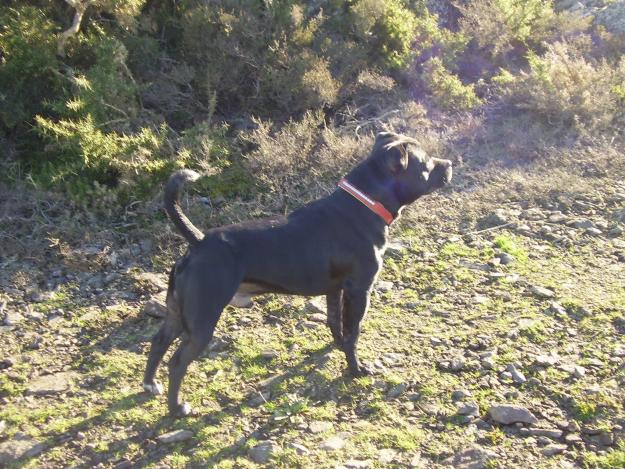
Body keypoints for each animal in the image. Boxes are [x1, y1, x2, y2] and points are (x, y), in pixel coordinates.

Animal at [144, 131, 450, 414]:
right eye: (425, 163)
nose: (448, 163)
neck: (364, 204)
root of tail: (198, 241)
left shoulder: (335, 290)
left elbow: (335, 323)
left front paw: (338, 347)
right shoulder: (359, 291)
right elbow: (353, 332)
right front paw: (355, 369)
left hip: (177, 312)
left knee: (158, 342)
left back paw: (150, 385)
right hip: (202, 321)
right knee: (177, 362)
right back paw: (176, 408)